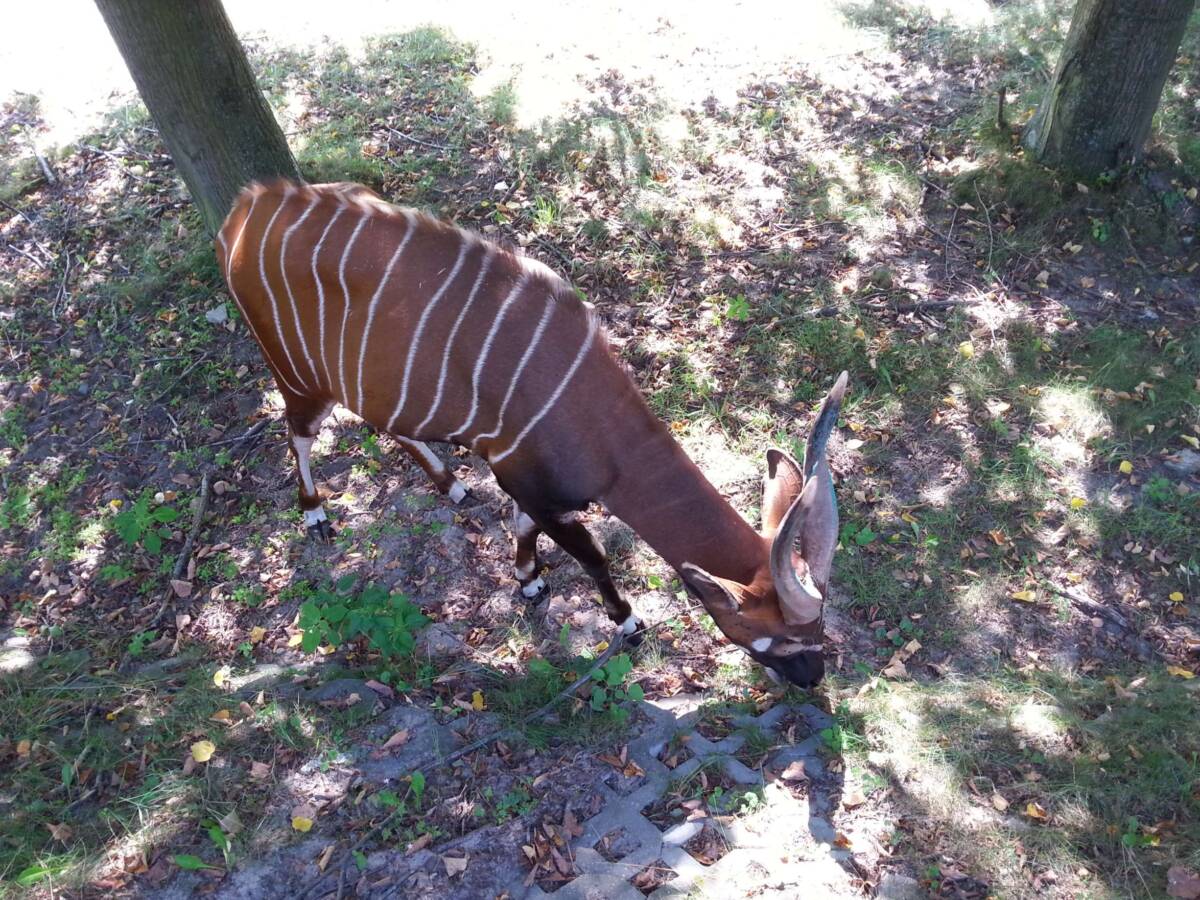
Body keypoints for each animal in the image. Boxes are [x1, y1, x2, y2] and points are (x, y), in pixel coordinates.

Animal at [215, 180, 847, 687]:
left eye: (818, 631)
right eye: (785, 638)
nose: (813, 678)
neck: (602, 429)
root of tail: (241, 212)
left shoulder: (525, 481)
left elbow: (524, 527)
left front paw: (528, 581)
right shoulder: (533, 483)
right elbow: (592, 554)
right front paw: (627, 620)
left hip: (368, 382)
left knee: (382, 424)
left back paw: (450, 485)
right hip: (298, 374)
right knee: (297, 431)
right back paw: (316, 514)